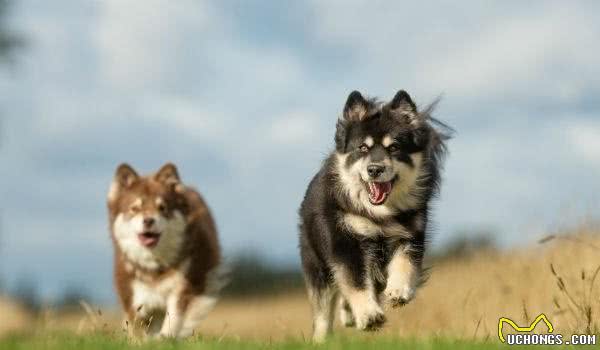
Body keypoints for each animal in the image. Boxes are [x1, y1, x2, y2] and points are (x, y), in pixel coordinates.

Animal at [298, 89, 450, 340]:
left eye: (394, 148)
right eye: (363, 148)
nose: (375, 169)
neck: (379, 214)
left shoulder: (410, 235)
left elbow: (404, 263)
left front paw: (399, 291)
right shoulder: (345, 242)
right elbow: (355, 281)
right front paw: (369, 316)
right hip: (317, 265)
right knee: (323, 311)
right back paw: (322, 338)